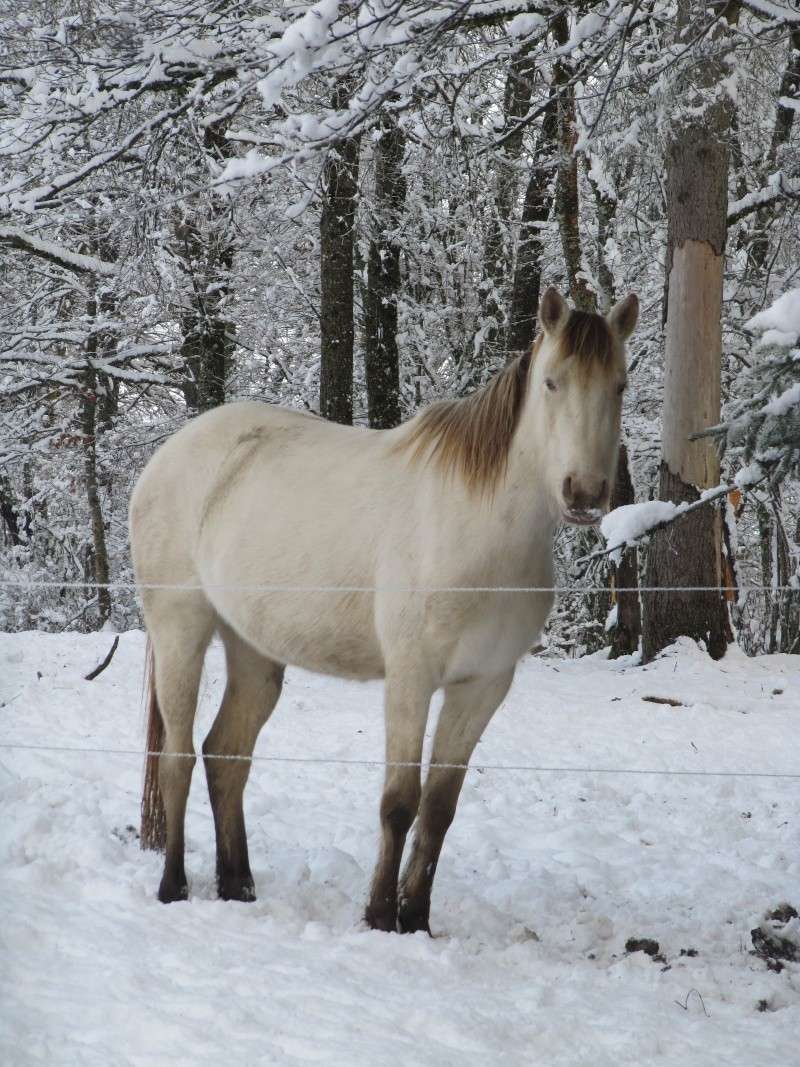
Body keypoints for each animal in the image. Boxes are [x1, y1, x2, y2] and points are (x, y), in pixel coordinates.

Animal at [131, 288, 640, 930]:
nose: (585, 494)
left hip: (254, 652)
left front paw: (416, 917)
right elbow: (400, 802)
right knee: (176, 758)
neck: (479, 531)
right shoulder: (411, 680)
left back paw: (238, 886)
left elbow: (440, 808)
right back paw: (173, 886)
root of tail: (168, 456)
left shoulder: (482, 686)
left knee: (226, 756)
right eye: (552, 382)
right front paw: (378, 915)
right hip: (182, 631)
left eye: (619, 385)